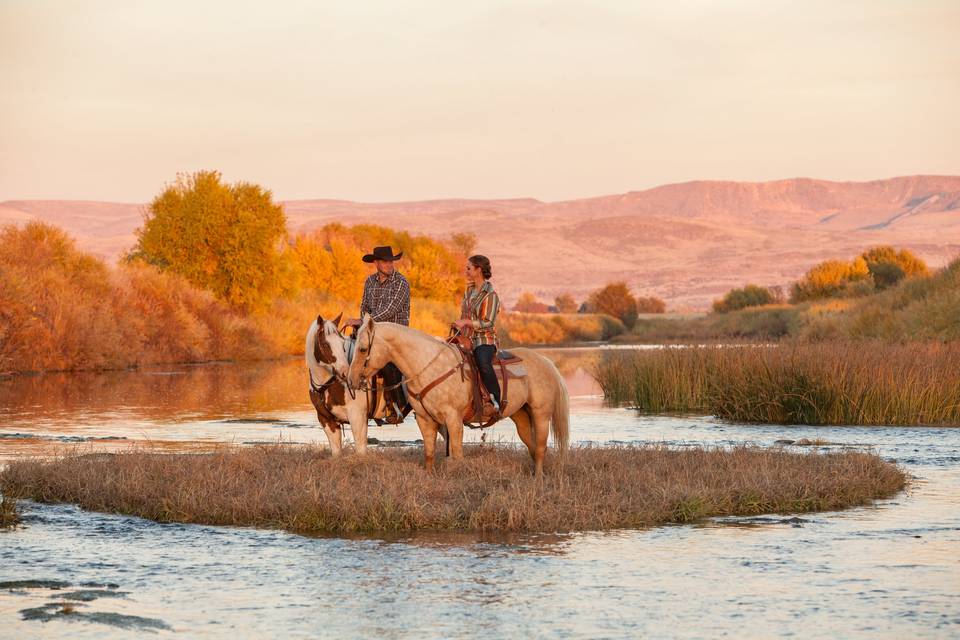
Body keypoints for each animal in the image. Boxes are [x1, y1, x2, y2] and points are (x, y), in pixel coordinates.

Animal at [344, 316, 568, 476]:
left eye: (363, 349)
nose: (351, 379)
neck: (427, 366)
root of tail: (546, 362)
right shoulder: (425, 419)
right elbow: (429, 453)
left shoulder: (453, 418)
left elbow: (457, 454)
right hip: (521, 416)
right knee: (532, 446)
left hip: (541, 414)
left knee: (540, 447)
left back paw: (538, 479)